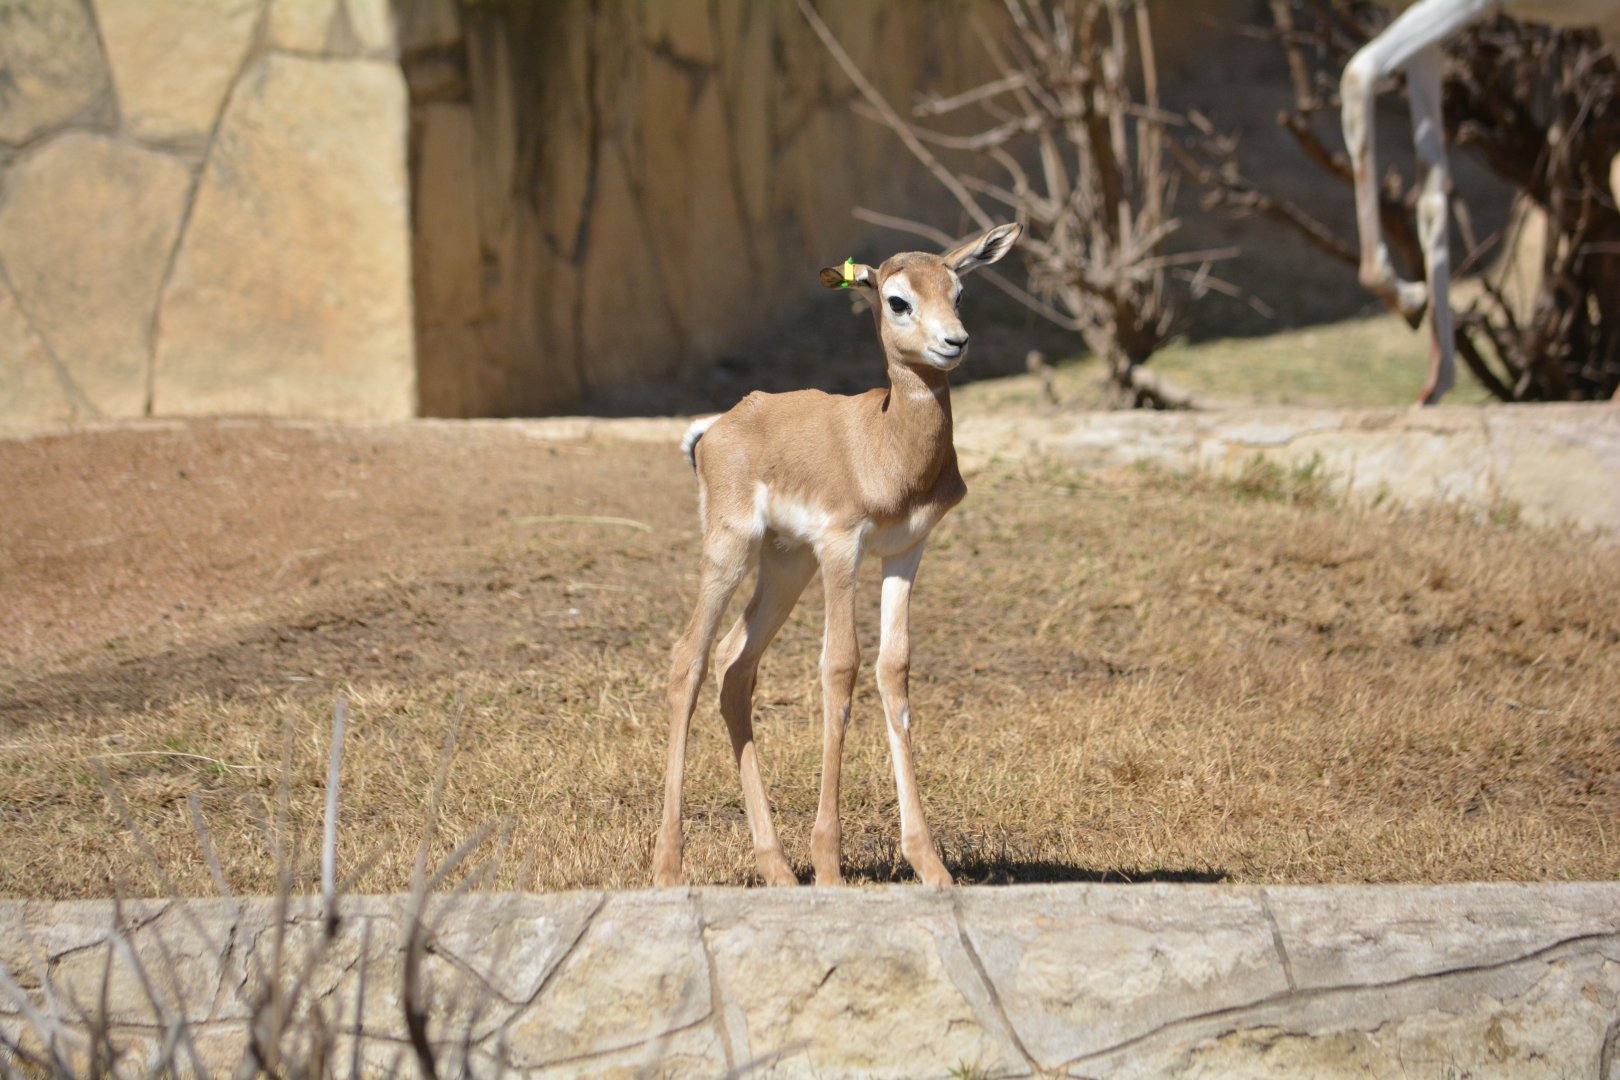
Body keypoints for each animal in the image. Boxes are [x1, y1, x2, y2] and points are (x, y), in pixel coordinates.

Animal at [651, 222, 1022, 888]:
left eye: (958, 291)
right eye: (898, 300)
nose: (954, 342)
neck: (884, 444)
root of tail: (718, 427)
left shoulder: (905, 551)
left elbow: (893, 669)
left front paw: (930, 864)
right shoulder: (842, 548)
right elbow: (840, 668)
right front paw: (830, 863)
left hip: (785, 565)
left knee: (733, 664)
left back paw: (776, 868)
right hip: (732, 550)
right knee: (687, 659)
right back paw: (669, 866)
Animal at [1341, 0, 1620, 403]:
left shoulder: (1472, 5)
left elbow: (1358, 73)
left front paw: (1407, 298)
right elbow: (1431, 192)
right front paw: (1436, 381)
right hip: (1610, 26)